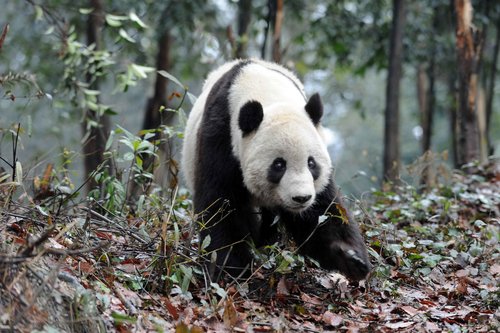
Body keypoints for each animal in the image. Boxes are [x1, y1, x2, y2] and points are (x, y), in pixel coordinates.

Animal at [183, 58, 372, 278]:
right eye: (279, 164)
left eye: (311, 163)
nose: (301, 198)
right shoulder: (221, 136)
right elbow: (220, 204)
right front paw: (233, 267)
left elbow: (323, 211)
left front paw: (351, 258)